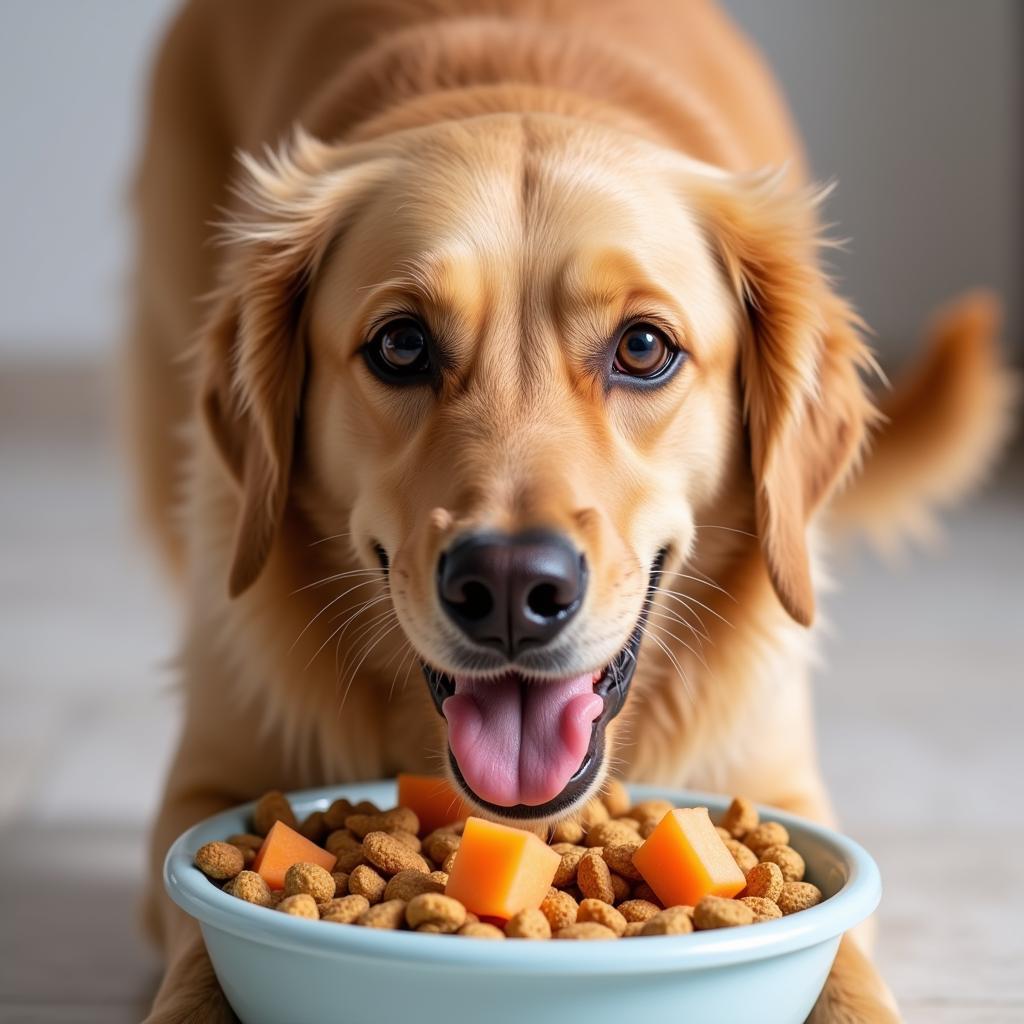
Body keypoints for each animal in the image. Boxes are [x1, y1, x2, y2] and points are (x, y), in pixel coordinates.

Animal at [130, 4, 1015, 1019]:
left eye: (643, 348)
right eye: (401, 345)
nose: (511, 588)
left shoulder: (782, 786)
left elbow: (847, 976)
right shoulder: (205, 789)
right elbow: (200, 960)